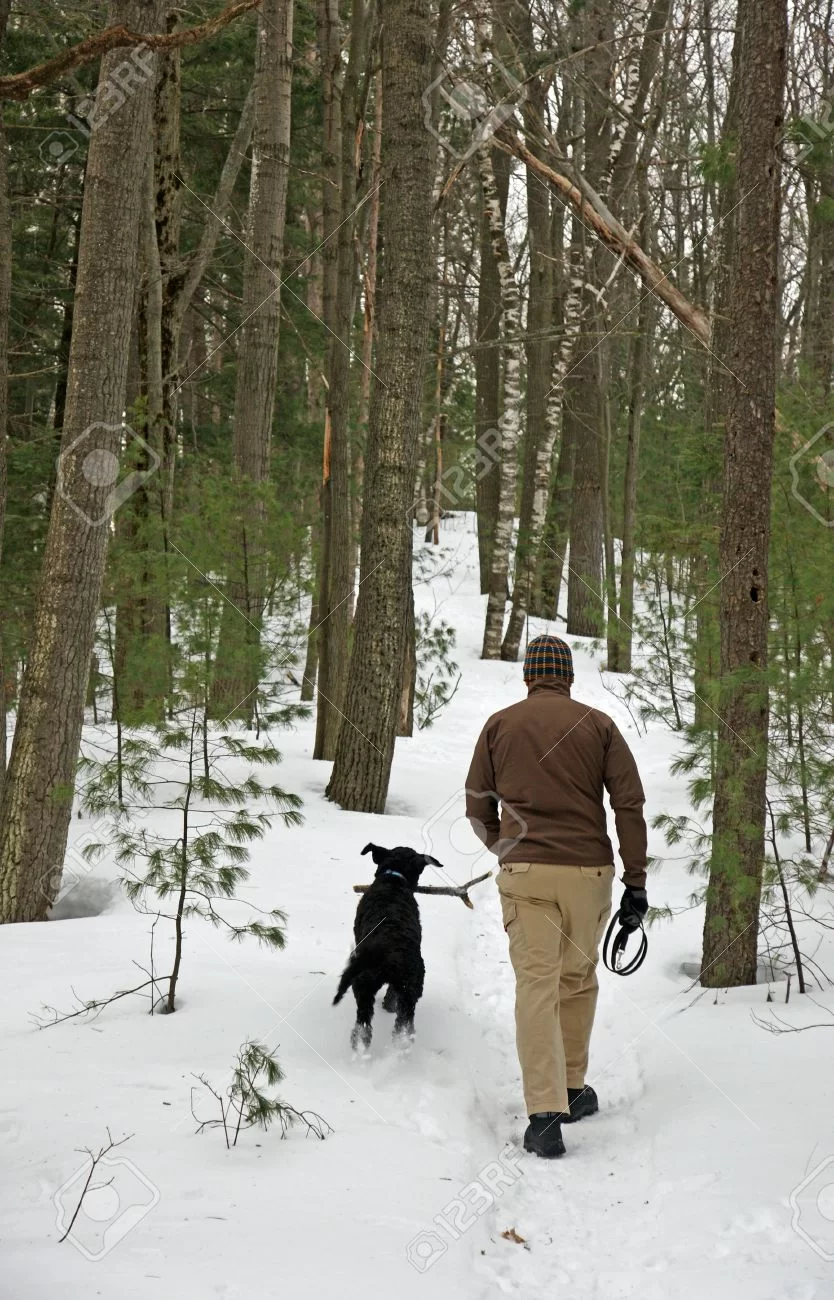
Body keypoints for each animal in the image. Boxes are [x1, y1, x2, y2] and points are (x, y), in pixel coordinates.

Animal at [329, 842, 439, 1045]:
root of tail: (391, 954)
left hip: (364, 982)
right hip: (409, 989)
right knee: (403, 1024)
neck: (394, 877)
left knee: (365, 1021)